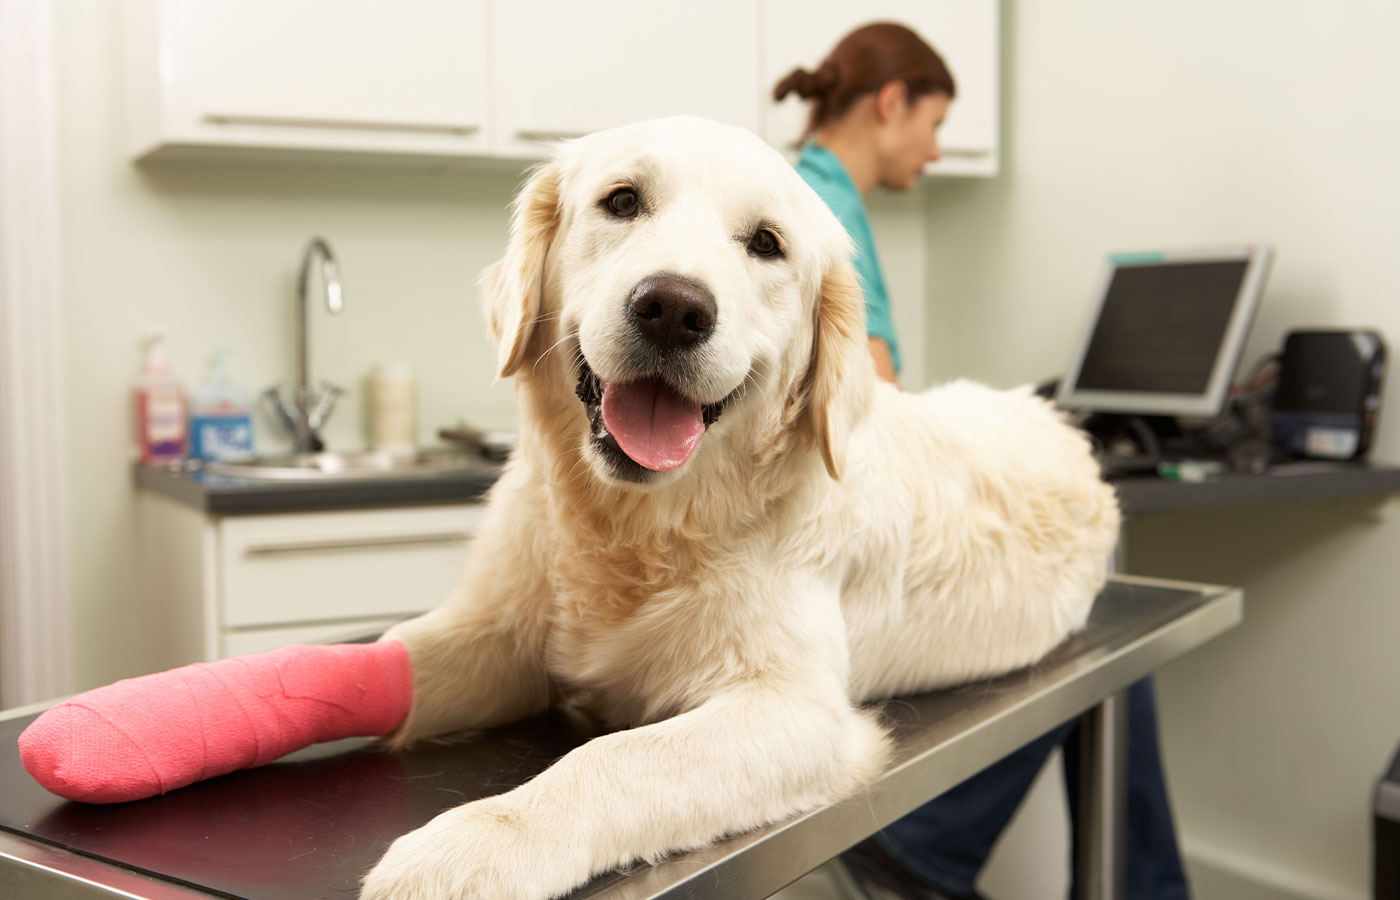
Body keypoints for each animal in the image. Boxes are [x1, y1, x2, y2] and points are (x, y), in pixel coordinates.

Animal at [358, 116, 1114, 900]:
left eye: (766, 243)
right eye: (621, 201)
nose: (673, 308)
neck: (639, 526)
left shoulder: (796, 710)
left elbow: (614, 758)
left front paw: (473, 845)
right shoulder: (499, 635)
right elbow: (395, 655)